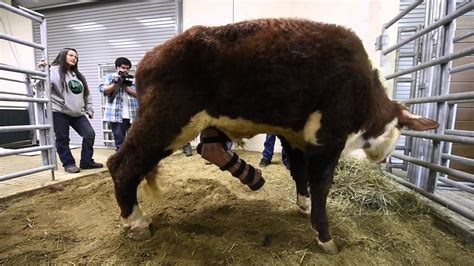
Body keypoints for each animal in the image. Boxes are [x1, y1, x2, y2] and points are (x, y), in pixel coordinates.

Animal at [106, 17, 436, 255]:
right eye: (400, 129)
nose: (384, 158)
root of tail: (151, 57)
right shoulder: (328, 137)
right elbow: (321, 185)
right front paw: (325, 237)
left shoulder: (295, 135)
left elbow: (299, 171)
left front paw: (303, 206)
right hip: (167, 121)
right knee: (122, 164)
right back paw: (136, 223)